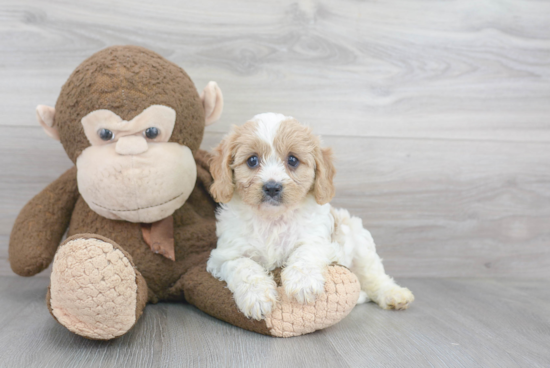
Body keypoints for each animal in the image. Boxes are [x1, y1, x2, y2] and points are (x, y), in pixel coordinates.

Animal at [207, 113, 414, 320]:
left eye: (292, 160)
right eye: (252, 160)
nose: (272, 187)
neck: (273, 219)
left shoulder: (318, 239)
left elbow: (304, 252)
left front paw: (303, 283)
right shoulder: (224, 256)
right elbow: (244, 267)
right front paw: (256, 296)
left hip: (359, 242)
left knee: (374, 276)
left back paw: (394, 294)